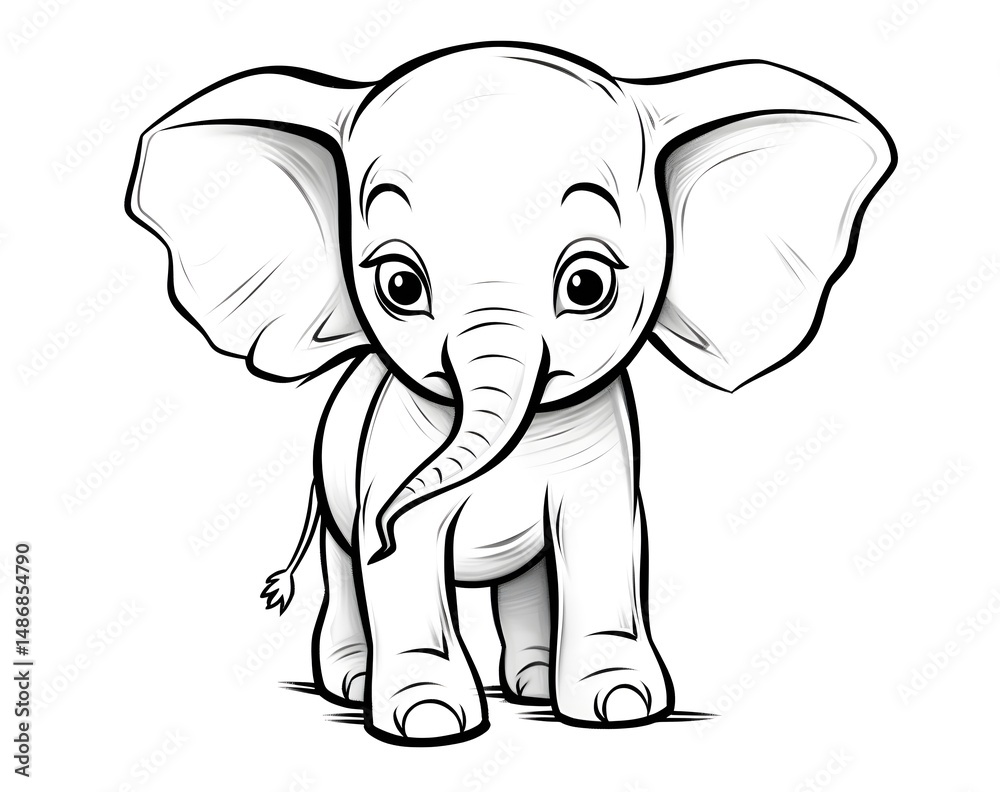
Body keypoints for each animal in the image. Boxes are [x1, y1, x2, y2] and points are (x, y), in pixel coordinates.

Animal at [126, 42, 895, 745]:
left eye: (588, 284)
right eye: (399, 285)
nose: (386, 520)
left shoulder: (604, 441)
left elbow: (602, 541)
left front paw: (620, 706)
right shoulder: (387, 449)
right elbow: (400, 562)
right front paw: (430, 722)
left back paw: (531, 685)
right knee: (346, 569)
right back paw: (355, 681)